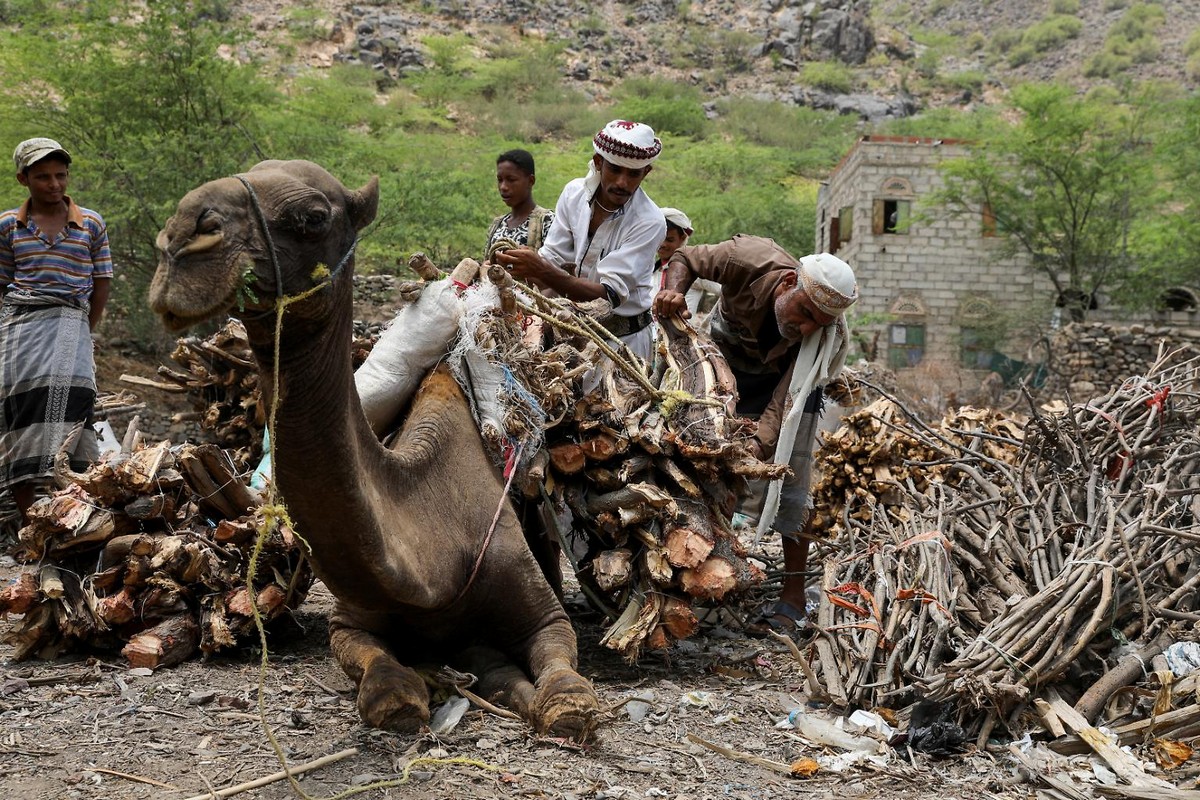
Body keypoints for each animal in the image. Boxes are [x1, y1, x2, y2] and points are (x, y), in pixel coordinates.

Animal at [150, 159, 600, 743]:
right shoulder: (351, 622)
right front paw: (420, 687)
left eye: (312, 217)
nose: (181, 241)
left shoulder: (542, 612)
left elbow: (564, 685)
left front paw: (553, 699)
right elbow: (384, 687)